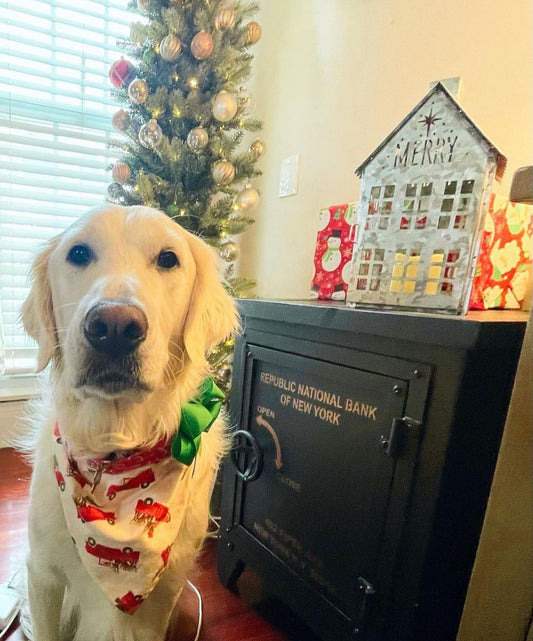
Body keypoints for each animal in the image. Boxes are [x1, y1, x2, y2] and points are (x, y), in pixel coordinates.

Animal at [20, 205, 237, 640]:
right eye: (79, 253)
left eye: (168, 259)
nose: (114, 327)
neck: (114, 451)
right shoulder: (44, 573)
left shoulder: (165, 593)